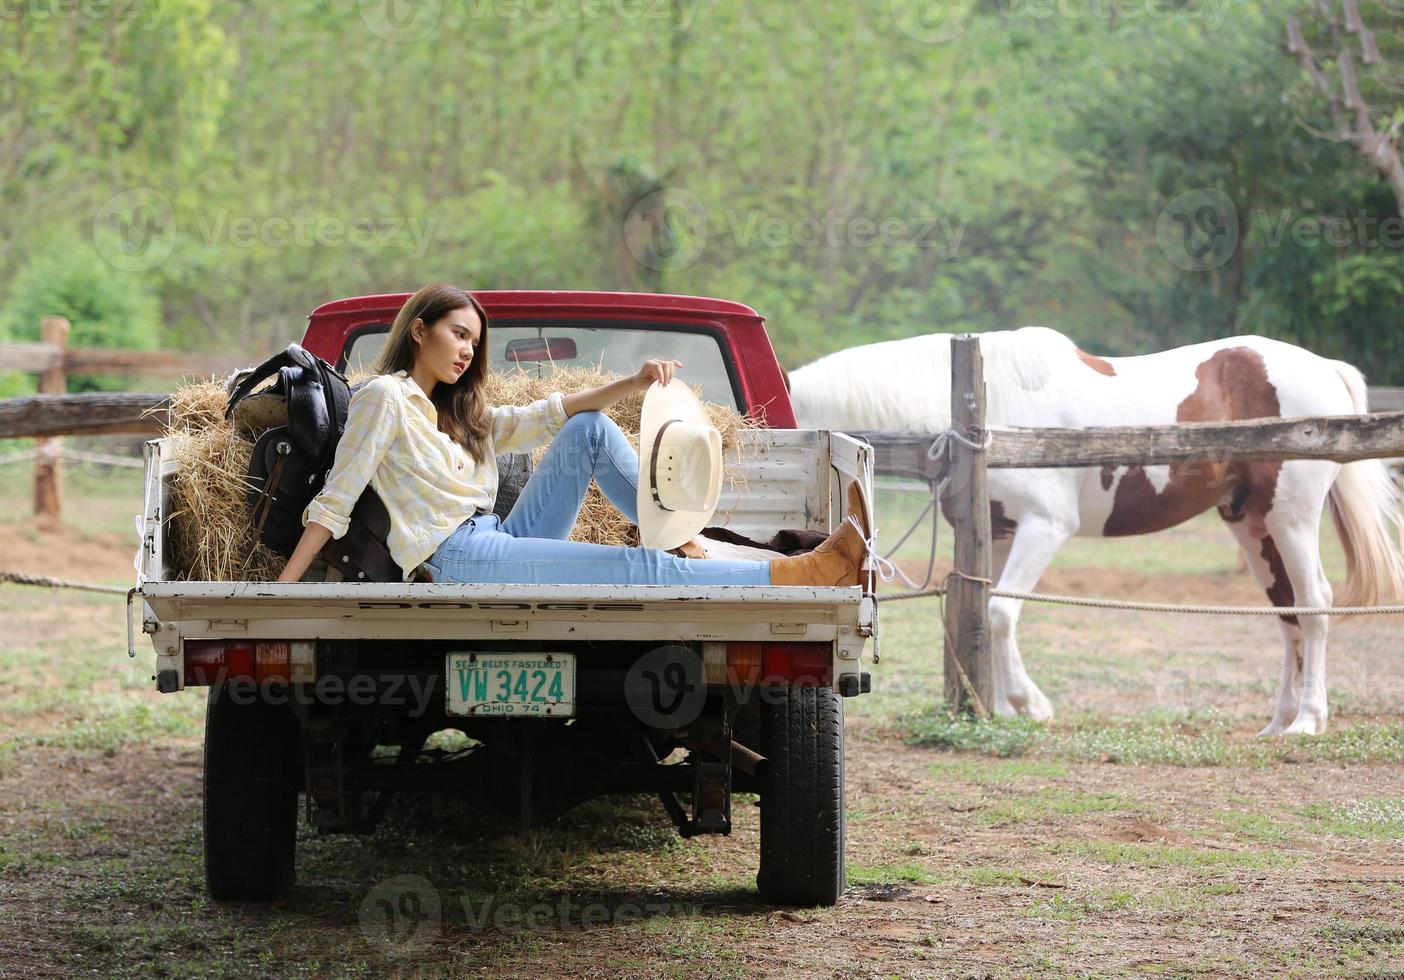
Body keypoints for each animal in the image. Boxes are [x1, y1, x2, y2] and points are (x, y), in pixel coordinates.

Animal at [791, 328, 1404, 730]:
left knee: (1315, 604)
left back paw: (1309, 719)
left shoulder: (1045, 527)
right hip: (1251, 524)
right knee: (1287, 613)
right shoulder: (1001, 535)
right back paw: (1279, 721)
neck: (990, 407)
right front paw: (1008, 706)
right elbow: (991, 612)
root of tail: (1325, 368)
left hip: (1291, 518)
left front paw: (1029, 704)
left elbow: (1001, 612)